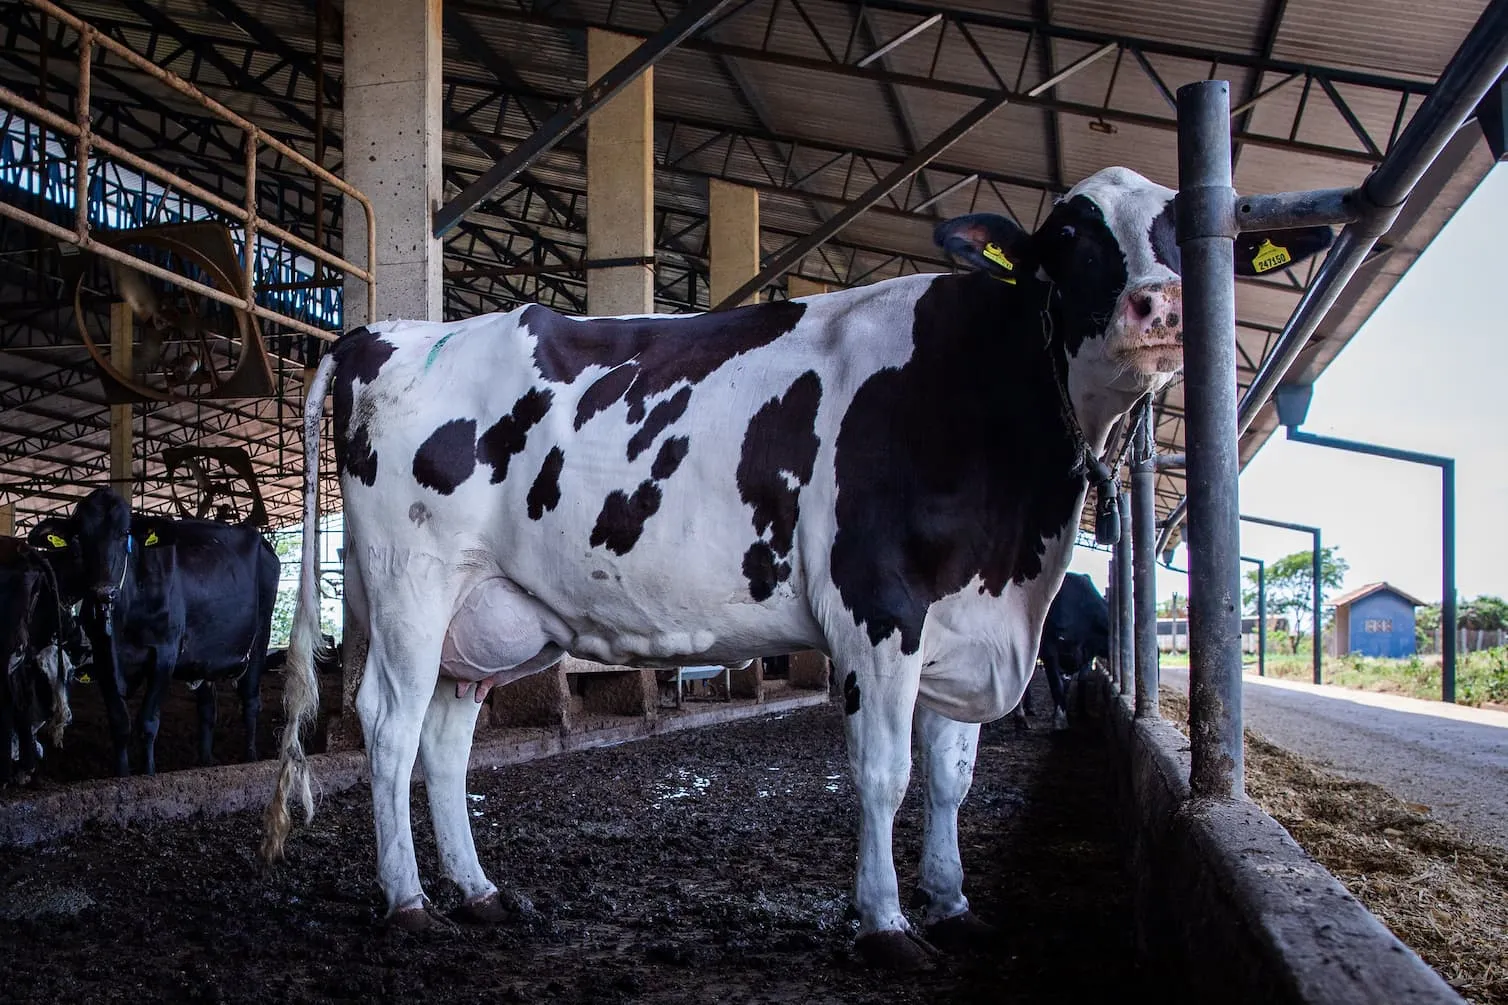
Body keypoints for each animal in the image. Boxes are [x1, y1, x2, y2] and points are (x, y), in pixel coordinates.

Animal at [49, 485, 283, 772]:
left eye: (124, 534)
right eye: (80, 538)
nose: (104, 592)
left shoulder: (164, 653)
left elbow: (148, 722)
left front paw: (148, 772)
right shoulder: (103, 657)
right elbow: (119, 722)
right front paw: (122, 773)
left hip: (260, 635)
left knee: (250, 700)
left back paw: (250, 756)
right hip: (206, 653)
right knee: (207, 708)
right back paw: (204, 760)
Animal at [265, 168, 1327, 965]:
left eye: (1187, 228)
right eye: (1067, 234)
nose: (1160, 304)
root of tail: (381, 333)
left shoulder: (965, 620)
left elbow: (951, 776)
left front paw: (954, 904)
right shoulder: (879, 607)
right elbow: (885, 772)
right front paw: (887, 924)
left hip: (480, 616)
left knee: (445, 742)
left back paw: (479, 891)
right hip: (411, 583)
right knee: (389, 728)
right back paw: (407, 903)